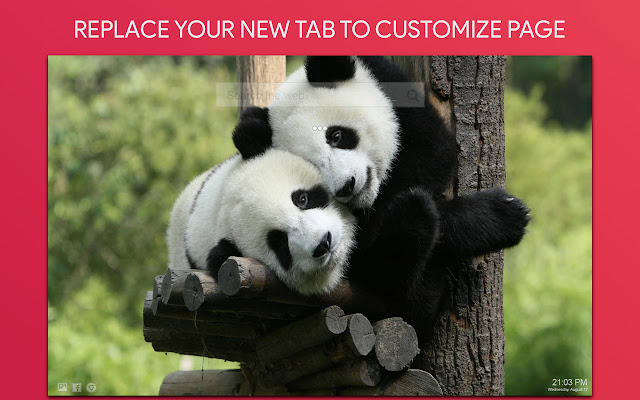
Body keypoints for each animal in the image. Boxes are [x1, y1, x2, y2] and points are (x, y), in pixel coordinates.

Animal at [232, 56, 530, 326]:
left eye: (336, 136)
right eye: (313, 166)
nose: (347, 186)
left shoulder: (399, 99)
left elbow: (436, 155)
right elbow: (370, 254)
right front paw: (502, 215)